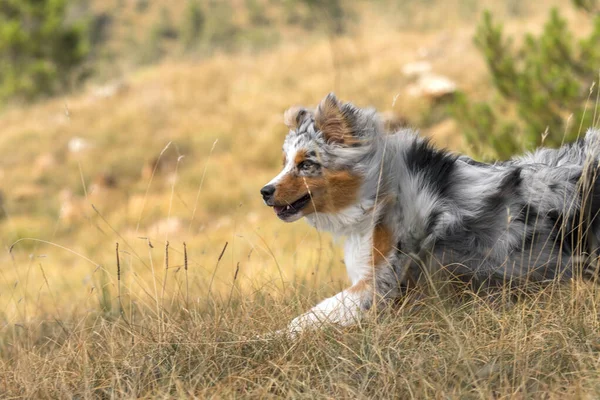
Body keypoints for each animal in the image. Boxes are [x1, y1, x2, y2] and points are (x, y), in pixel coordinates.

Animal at [260, 93, 600, 334]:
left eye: (306, 164)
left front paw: (264, 339)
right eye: (284, 162)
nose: (265, 191)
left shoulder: (380, 285)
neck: (381, 190)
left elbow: (307, 318)